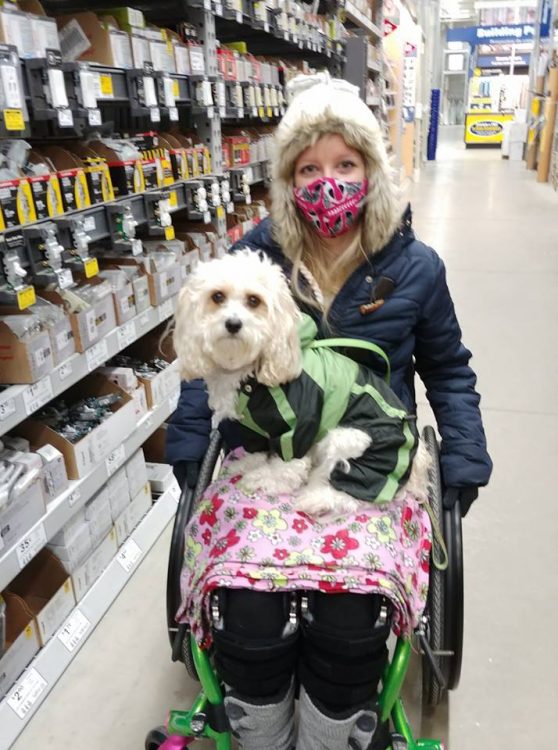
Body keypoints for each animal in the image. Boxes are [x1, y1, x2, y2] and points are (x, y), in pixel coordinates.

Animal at [175, 248, 434, 516]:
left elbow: (288, 466)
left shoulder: (299, 423)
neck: (252, 369)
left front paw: (265, 478)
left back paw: (317, 498)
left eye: (254, 300)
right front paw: (247, 464)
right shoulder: (251, 429)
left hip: (355, 441)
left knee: (356, 494)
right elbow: (256, 449)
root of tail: (417, 464)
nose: (233, 324)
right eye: (217, 296)